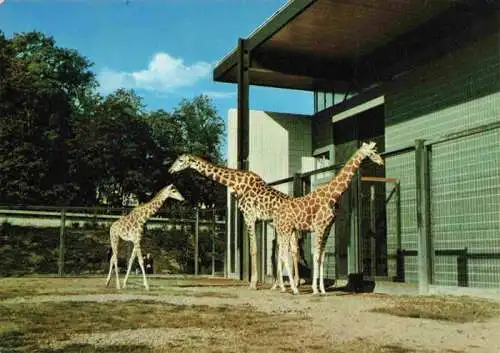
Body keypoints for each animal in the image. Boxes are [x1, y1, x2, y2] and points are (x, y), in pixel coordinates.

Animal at [168, 154, 300, 288]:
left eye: (180, 160)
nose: (170, 170)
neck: (238, 183)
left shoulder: (249, 217)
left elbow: (253, 250)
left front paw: (253, 283)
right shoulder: (255, 219)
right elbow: (259, 249)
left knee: (289, 250)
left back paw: (285, 283)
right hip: (287, 227)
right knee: (293, 249)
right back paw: (292, 282)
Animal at [274, 141, 382, 294]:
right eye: (373, 152)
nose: (381, 161)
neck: (332, 196)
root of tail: (277, 215)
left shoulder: (327, 228)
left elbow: (322, 257)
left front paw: (323, 289)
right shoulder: (319, 227)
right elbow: (316, 255)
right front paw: (315, 289)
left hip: (288, 231)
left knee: (282, 254)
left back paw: (284, 287)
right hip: (285, 230)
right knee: (283, 254)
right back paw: (294, 289)